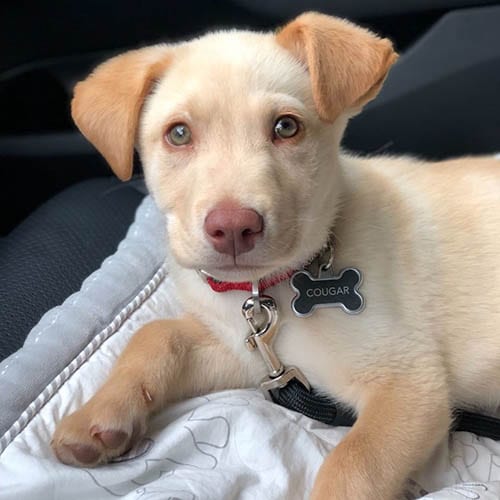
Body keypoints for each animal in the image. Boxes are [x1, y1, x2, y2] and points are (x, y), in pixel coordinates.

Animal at [50, 11, 500, 500]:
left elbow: (353, 465)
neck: (268, 290)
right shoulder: (245, 355)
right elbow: (156, 334)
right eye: (179, 134)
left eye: (286, 127)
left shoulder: (410, 384)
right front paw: (97, 416)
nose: (232, 228)